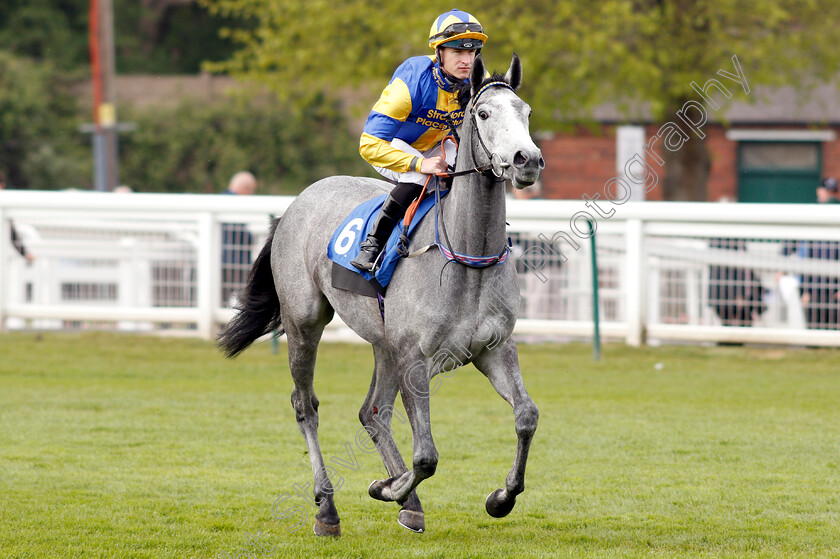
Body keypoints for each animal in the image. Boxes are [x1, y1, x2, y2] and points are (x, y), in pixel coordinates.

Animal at [218, 53, 544, 540]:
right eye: (484, 114)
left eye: (525, 112)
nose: (528, 159)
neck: (466, 259)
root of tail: (297, 202)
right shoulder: (415, 358)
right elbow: (426, 456)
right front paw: (386, 487)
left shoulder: (495, 349)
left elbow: (526, 416)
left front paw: (500, 498)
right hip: (305, 322)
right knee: (306, 406)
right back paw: (328, 509)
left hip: (383, 343)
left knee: (372, 412)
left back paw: (410, 504)